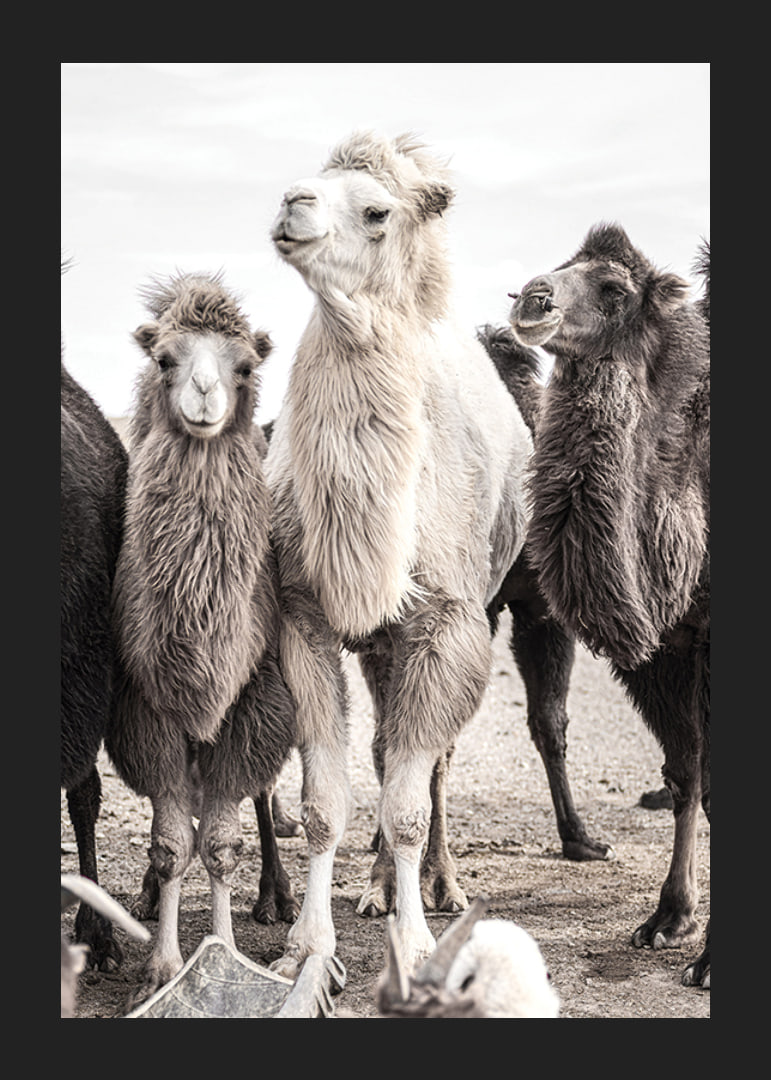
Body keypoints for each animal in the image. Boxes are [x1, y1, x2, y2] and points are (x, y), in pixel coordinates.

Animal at [264, 132, 534, 976]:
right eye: (313, 183)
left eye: (376, 211)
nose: (292, 202)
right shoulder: (304, 617)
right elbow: (324, 802)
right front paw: (306, 949)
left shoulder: (446, 622)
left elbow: (413, 802)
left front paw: (415, 950)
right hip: (381, 644)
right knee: (386, 748)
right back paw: (378, 888)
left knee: (431, 763)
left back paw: (436, 887)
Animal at [508, 223, 710, 988]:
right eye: (565, 265)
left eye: (615, 289)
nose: (532, 298)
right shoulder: (662, 651)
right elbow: (684, 776)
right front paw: (668, 918)